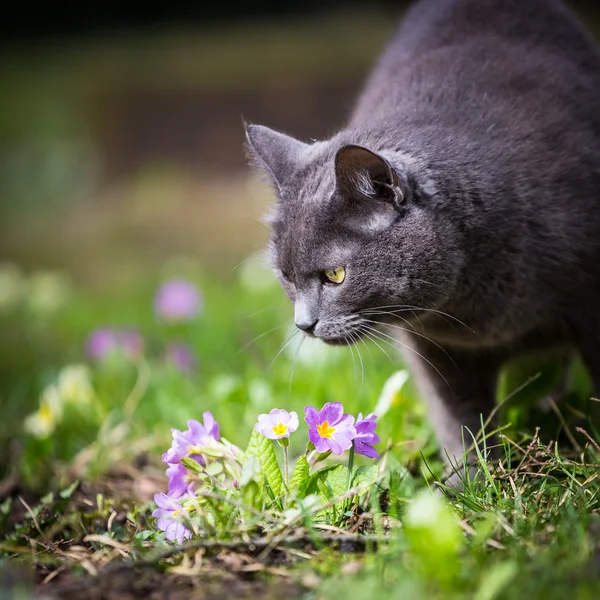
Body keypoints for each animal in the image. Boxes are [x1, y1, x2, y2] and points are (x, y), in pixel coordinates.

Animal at [243, 0, 600, 478]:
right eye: (285, 276)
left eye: (335, 275)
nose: (304, 324)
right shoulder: (433, 348)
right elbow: (460, 418)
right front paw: (470, 480)